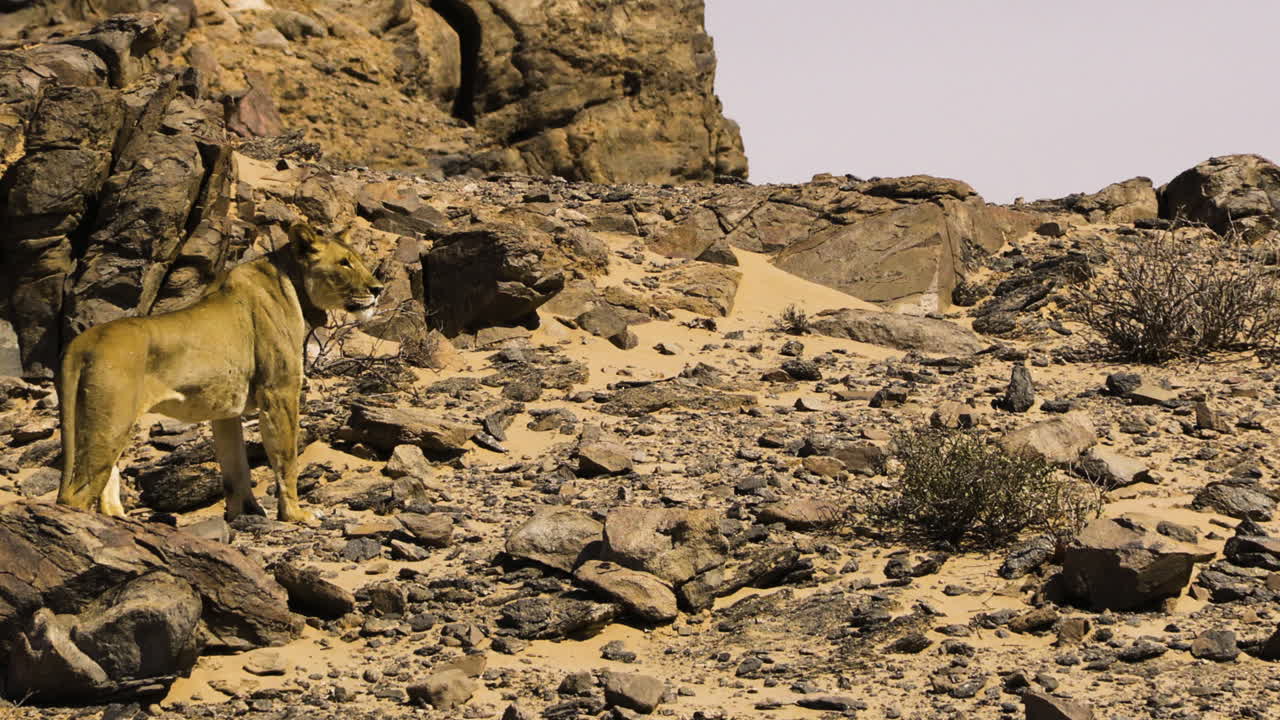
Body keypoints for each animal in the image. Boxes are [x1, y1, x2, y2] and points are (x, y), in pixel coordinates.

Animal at [56, 223, 383, 523]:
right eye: (344, 262)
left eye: (358, 259)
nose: (378, 289)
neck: (294, 284)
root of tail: (82, 342)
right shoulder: (279, 391)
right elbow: (286, 458)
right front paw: (295, 515)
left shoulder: (225, 411)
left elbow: (235, 467)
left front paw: (245, 513)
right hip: (111, 422)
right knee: (77, 494)